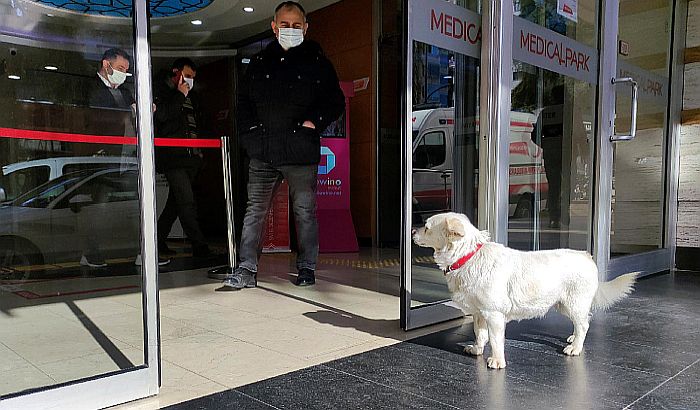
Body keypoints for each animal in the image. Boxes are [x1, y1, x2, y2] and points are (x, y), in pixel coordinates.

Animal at [412, 213, 636, 370]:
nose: (412, 231)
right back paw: (573, 339)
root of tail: (587, 256)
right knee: (581, 323)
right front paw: (476, 349)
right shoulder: (479, 314)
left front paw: (497, 361)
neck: (468, 256)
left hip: (574, 303)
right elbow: (480, 334)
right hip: (564, 305)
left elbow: (495, 340)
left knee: (584, 325)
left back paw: (575, 348)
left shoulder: (494, 315)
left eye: (426, 227)